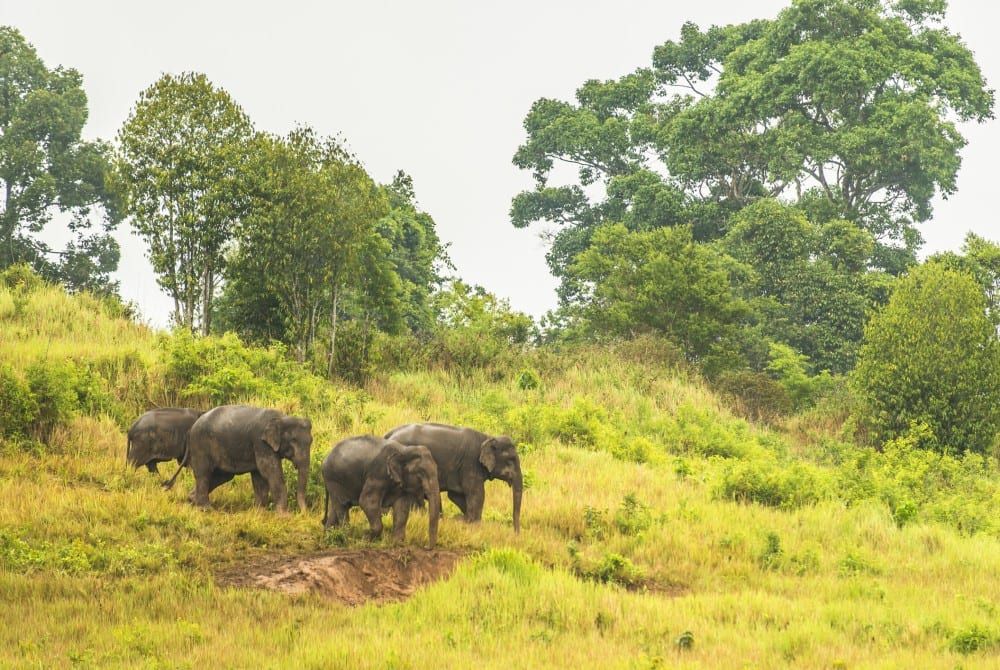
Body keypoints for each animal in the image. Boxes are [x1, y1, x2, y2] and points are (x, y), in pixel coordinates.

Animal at [164, 404, 312, 516]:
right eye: (293, 441)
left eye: (311, 441)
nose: (304, 514)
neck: (282, 418)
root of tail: (191, 429)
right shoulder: (260, 443)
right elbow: (270, 471)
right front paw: (285, 516)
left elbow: (259, 477)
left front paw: (259, 512)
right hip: (200, 445)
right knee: (204, 474)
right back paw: (206, 508)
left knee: (221, 476)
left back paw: (192, 499)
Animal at [382, 426, 524, 536]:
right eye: (511, 460)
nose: (516, 534)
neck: (487, 437)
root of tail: (388, 435)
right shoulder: (471, 464)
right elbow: (477, 494)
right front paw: (475, 525)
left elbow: (456, 496)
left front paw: (466, 520)